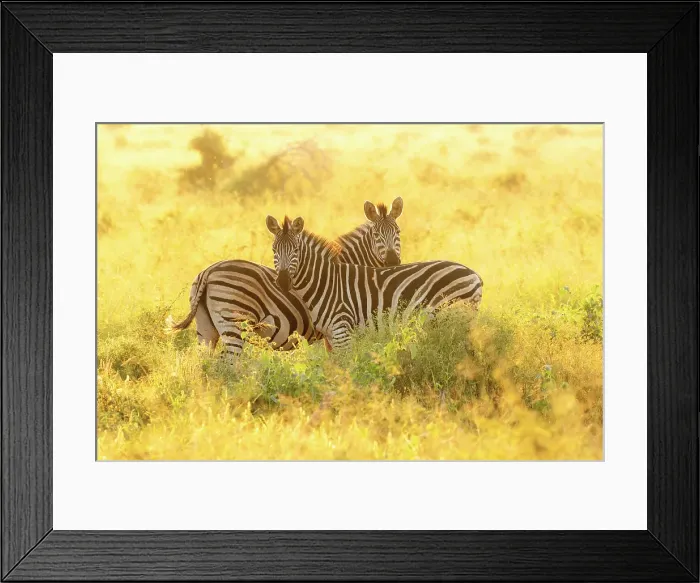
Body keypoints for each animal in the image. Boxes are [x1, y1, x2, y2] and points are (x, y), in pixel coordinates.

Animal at [170, 198, 404, 357]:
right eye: (376, 235)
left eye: (398, 232)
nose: (393, 261)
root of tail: (208, 272)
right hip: (234, 321)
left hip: (206, 328)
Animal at [266, 215, 483, 351]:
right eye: (274, 250)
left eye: (296, 250)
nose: (283, 281)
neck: (325, 282)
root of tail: (474, 274)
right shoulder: (331, 336)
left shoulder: (342, 331)